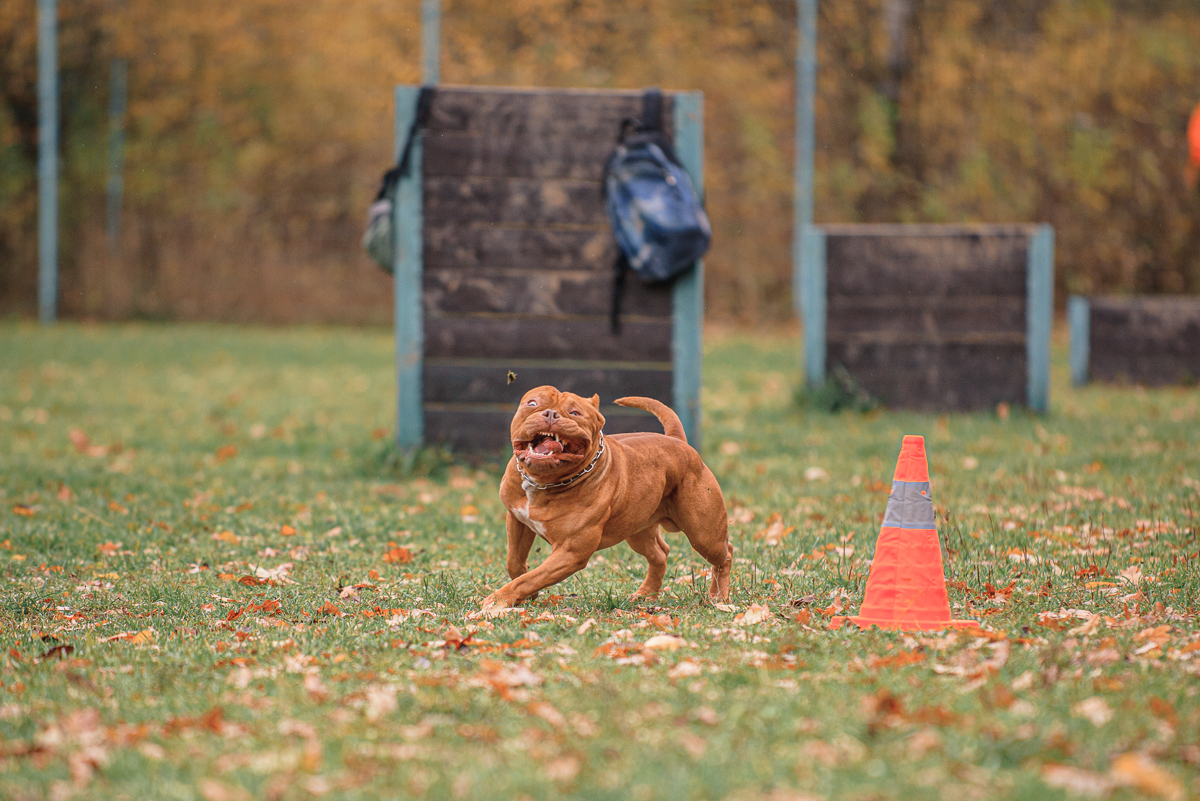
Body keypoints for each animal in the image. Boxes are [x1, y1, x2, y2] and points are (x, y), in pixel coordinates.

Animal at [480, 388, 729, 613]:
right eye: (532, 403)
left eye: (575, 413)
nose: (550, 413)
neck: (544, 482)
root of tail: (677, 441)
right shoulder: (517, 520)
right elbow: (514, 562)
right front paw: (526, 594)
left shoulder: (570, 553)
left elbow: (531, 578)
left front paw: (498, 599)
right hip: (637, 530)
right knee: (660, 553)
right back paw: (645, 594)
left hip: (704, 535)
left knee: (725, 554)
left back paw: (719, 596)